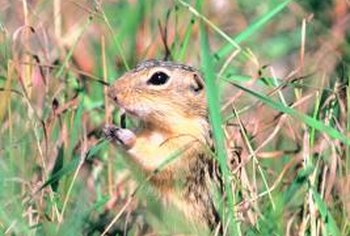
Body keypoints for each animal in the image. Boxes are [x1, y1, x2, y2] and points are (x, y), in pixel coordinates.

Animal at [104, 59, 221, 234]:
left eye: (159, 78)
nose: (111, 92)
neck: (156, 129)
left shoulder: (189, 144)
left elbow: (157, 161)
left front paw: (127, 137)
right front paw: (108, 130)